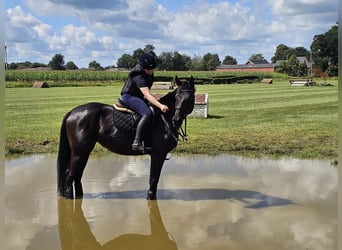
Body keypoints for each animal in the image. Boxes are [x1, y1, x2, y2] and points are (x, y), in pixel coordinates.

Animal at [57, 76, 194, 199]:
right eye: (177, 97)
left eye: (189, 98)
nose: (176, 119)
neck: (164, 118)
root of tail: (72, 112)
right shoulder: (158, 155)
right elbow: (153, 182)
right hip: (78, 153)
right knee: (69, 175)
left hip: (84, 152)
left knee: (77, 176)